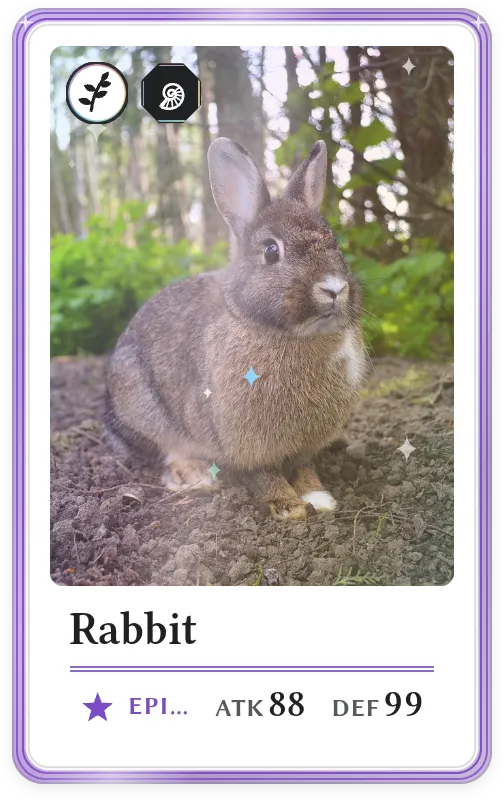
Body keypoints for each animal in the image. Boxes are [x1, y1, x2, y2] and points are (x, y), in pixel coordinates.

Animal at [105, 138, 368, 520]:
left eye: (336, 244)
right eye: (271, 251)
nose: (334, 287)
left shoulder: (304, 446)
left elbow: (304, 467)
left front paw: (319, 498)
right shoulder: (242, 444)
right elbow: (261, 475)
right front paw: (288, 507)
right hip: (142, 408)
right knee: (166, 453)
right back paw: (196, 476)